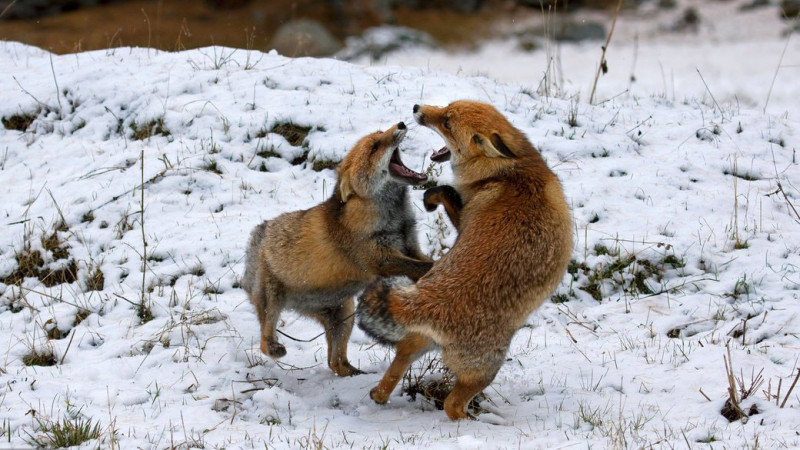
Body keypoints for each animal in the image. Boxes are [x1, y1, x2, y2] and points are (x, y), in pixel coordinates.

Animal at [242, 122, 434, 376]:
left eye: (380, 134)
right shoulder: (378, 259)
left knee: (335, 362)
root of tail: (259, 232)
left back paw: (355, 375)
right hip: (272, 301)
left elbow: (424, 262)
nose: (401, 124)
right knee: (265, 338)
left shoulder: (410, 246)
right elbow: (421, 266)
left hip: (343, 316)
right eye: (375, 148)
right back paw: (274, 348)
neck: (396, 219)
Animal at [358, 101, 576, 418]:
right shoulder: (464, 220)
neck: (507, 173)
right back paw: (479, 421)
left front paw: (429, 197)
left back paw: (380, 394)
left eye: (447, 121)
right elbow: (446, 190)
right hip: (486, 369)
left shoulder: (466, 220)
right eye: (444, 112)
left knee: (402, 355)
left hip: (424, 342)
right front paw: (431, 198)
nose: (416, 107)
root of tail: (430, 301)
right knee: (452, 405)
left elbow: (443, 190)